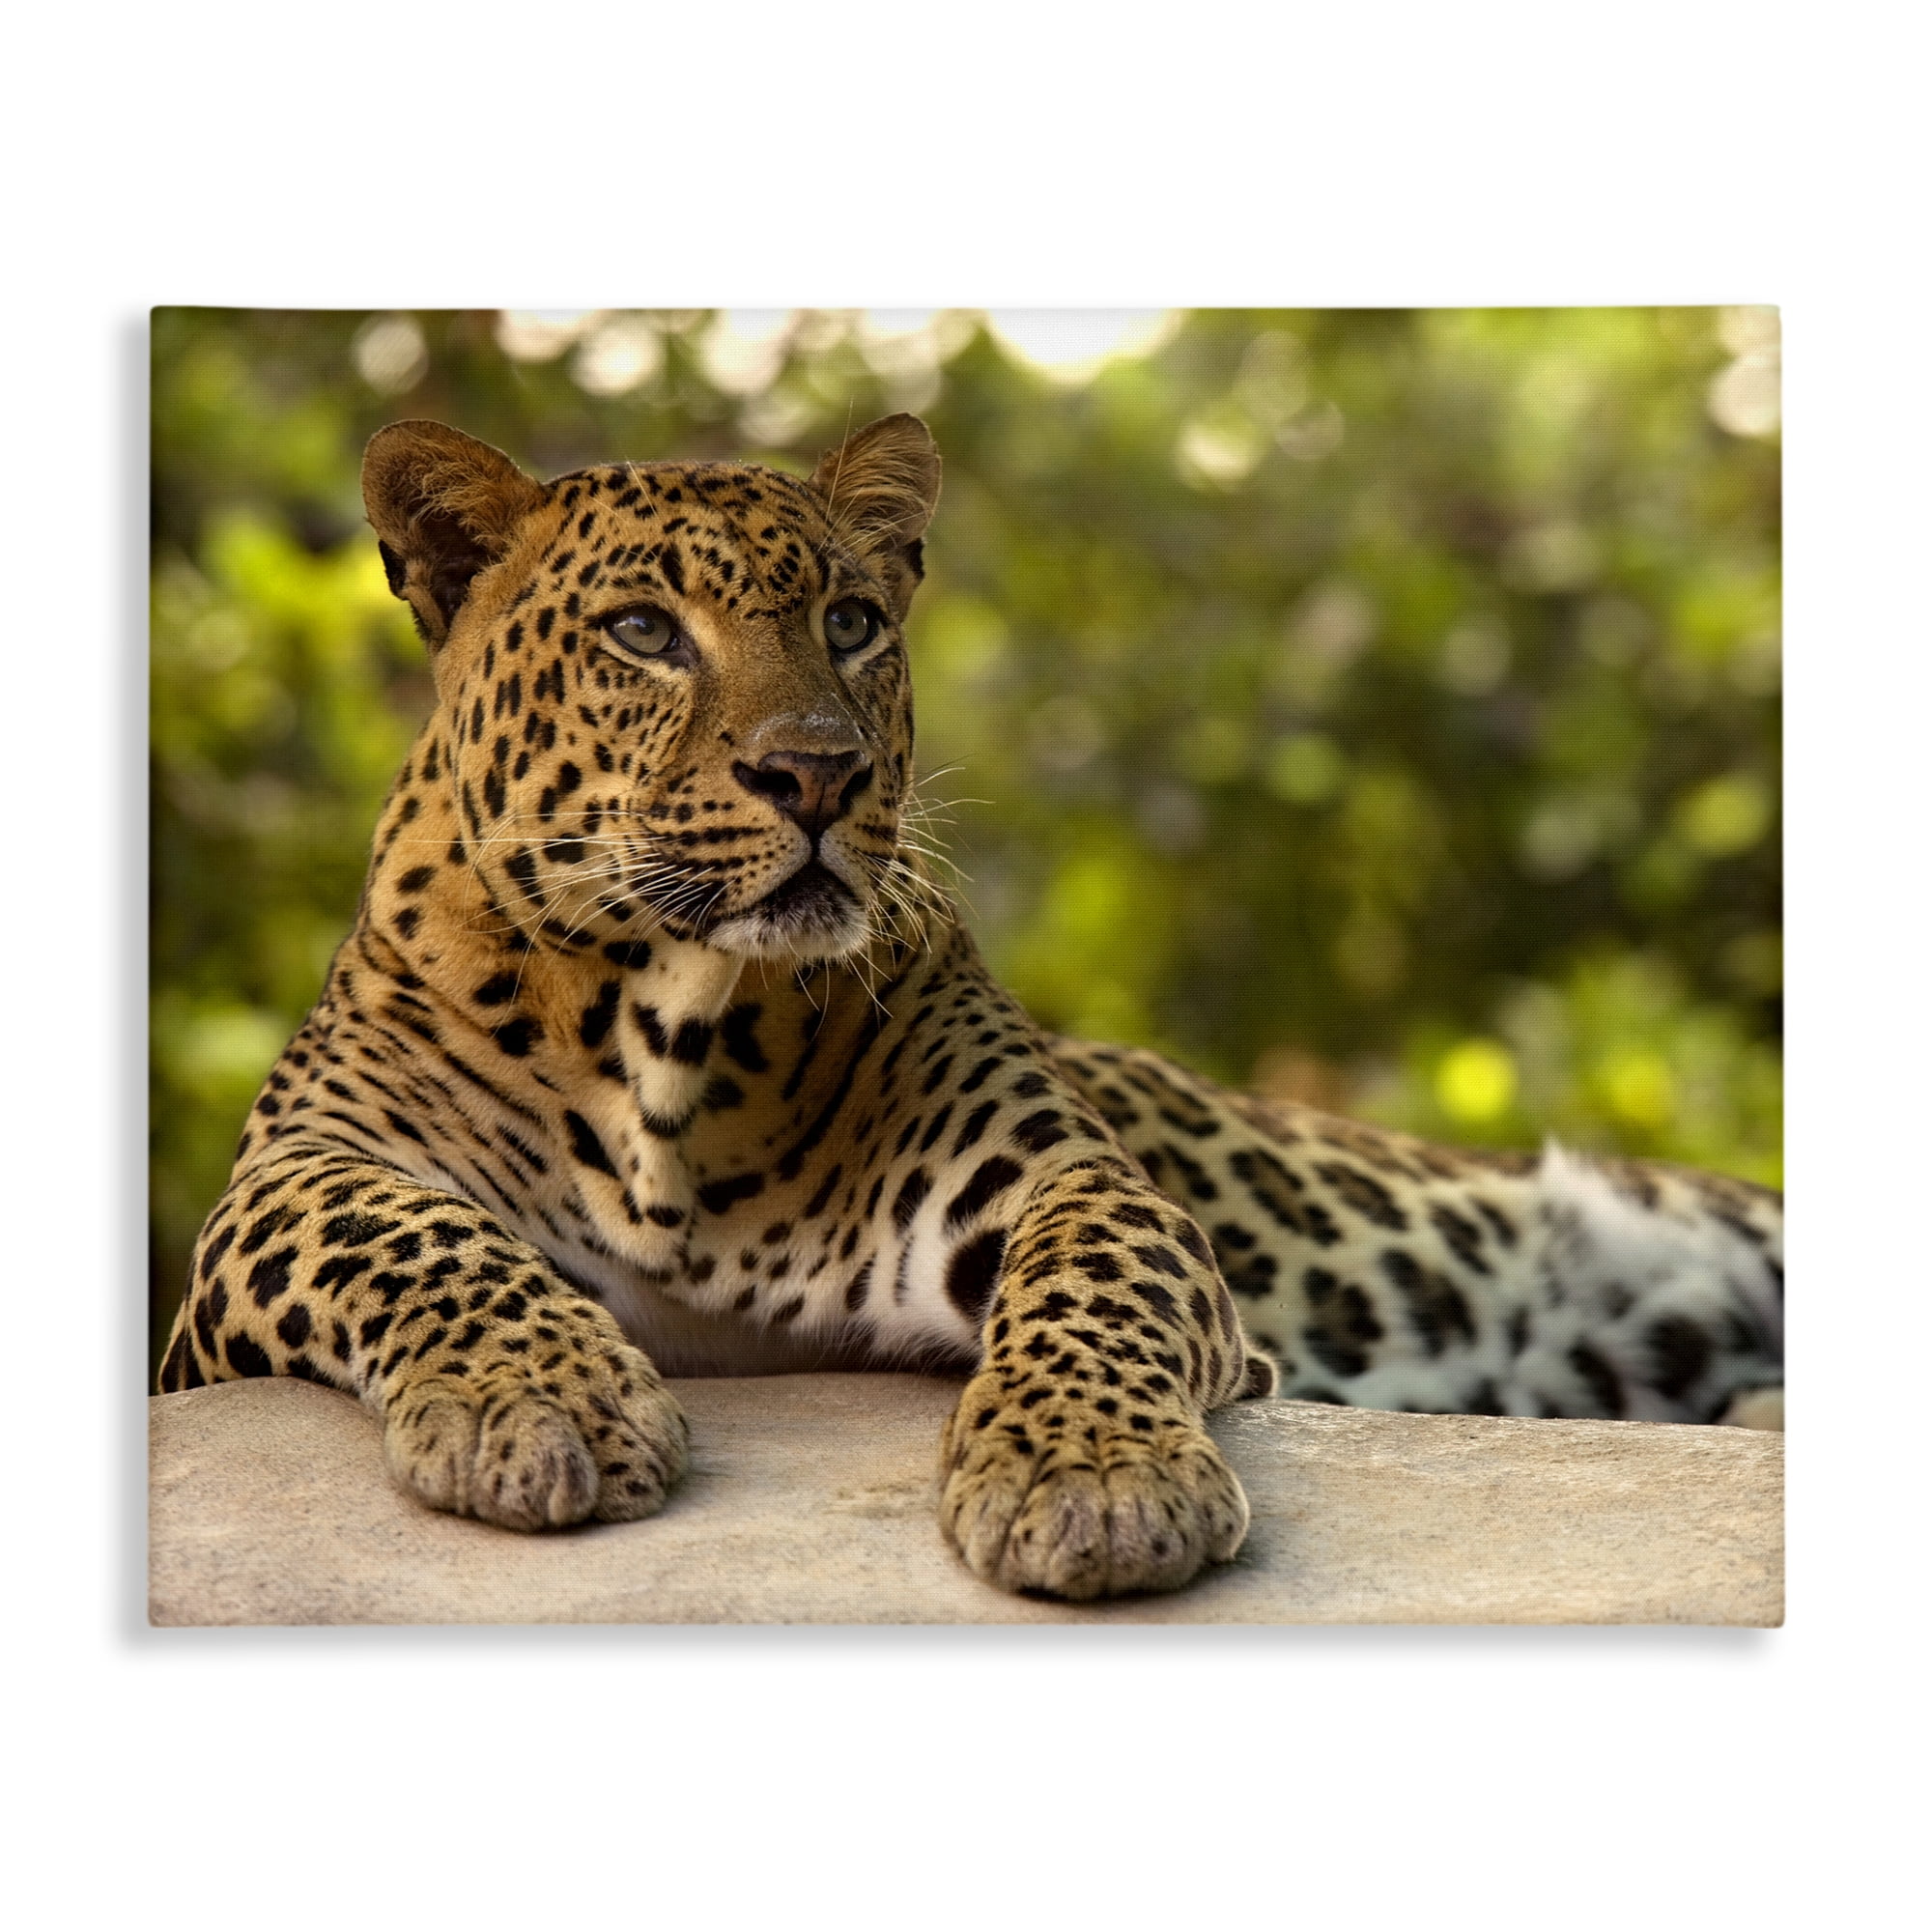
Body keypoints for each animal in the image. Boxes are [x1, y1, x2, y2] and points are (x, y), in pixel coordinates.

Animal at [158, 412, 1785, 1601]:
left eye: (852, 620)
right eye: (643, 631)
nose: (817, 774)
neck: (669, 1029)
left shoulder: (1056, 1177)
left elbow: (1091, 1285)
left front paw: (1093, 1480)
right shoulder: (278, 1194)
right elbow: (408, 1236)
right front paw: (538, 1402)